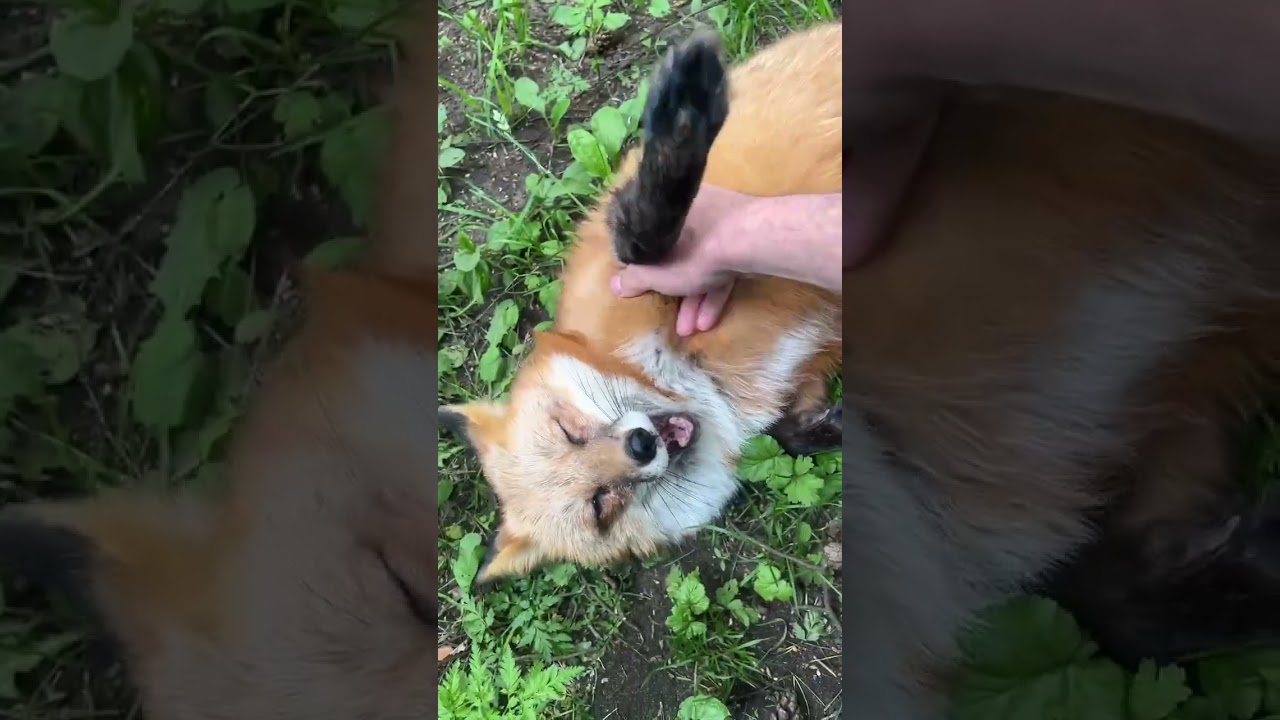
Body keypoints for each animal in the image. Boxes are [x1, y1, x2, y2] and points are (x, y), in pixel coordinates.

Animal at [443, 17, 1280, 720]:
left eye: (570, 430)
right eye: (603, 505)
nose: (644, 448)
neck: (707, 387)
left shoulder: (678, 273)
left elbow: (647, 234)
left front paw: (681, 120)